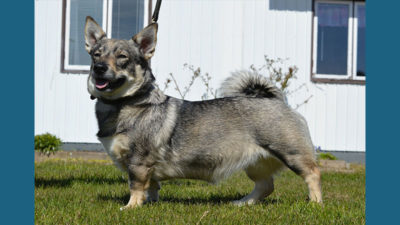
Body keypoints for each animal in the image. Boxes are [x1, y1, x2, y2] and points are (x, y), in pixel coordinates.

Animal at [83, 16, 322, 210]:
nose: (99, 68)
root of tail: (275, 100)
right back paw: (243, 203)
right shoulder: (145, 167)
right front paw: (149, 203)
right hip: (256, 163)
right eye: (96, 55)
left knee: (312, 174)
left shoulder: (138, 162)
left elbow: (136, 186)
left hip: (292, 153)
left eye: (122, 57)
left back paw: (315, 203)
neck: (124, 104)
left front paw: (131, 207)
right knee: (265, 186)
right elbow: (152, 186)